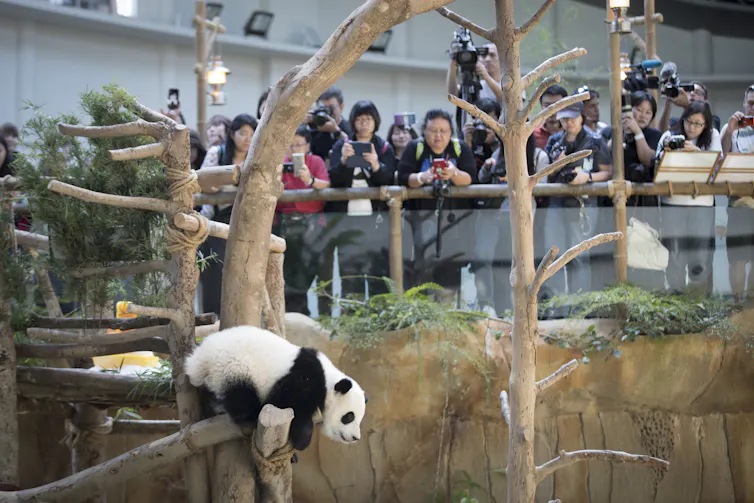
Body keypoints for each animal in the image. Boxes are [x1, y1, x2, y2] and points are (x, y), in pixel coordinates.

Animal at [185, 325, 366, 451]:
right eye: (349, 416)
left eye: (359, 418)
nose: (355, 437)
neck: (328, 380)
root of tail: (198, 359)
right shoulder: (303, 379)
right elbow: (285, 403)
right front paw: (302, 438)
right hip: (233, 367)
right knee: (243, 400)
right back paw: (250, 414)